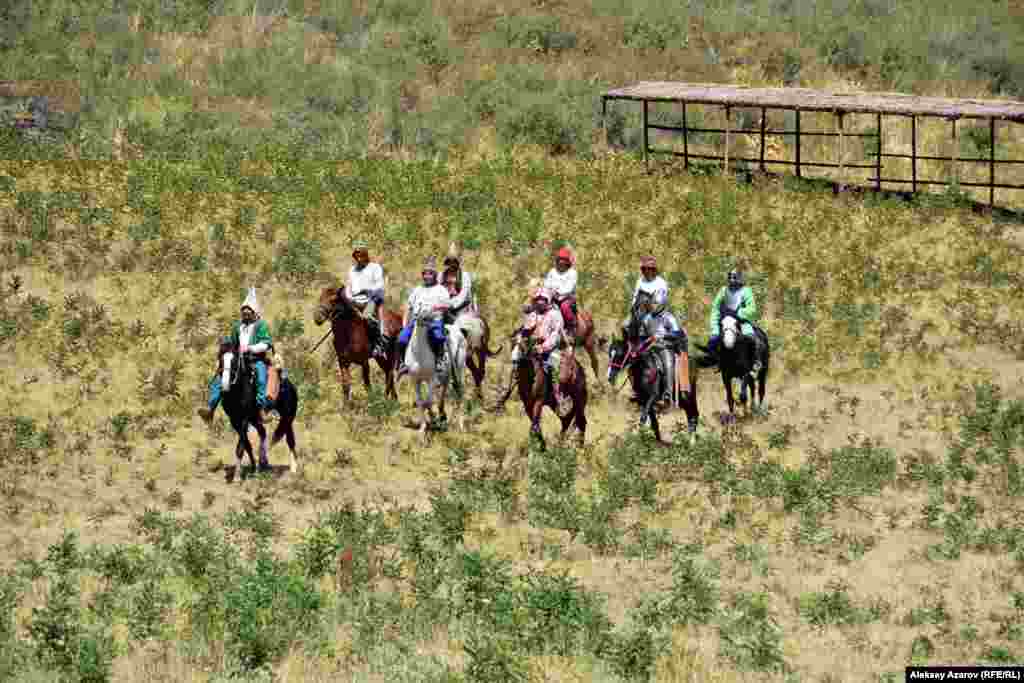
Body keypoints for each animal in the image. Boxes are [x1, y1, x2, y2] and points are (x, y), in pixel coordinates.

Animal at [215, 339, 299, 479]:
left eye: (234, 360)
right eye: (220, 359)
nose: (225, 385)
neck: (238, 391)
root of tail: (290, 385)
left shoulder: (244, 420)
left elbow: (240, 447)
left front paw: (237, 476)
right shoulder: (235, 420)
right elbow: (246, 444)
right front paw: (253, 467)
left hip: (287, 417)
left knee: (290, 439)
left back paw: (293, 469)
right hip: (256, 419)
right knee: (263, 432)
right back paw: (261, 463)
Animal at [397, 305, 468, 444]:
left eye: (427, 309)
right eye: (414, 306)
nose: (418, 316)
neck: (418, 353)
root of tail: (456, 329)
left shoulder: (432, 380)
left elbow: (428, 401)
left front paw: (431, 419)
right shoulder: (416, 380)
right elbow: (421, 402)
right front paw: (423, 429)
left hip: (459, 368)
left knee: (459, 392)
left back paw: (461, 424)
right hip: (446, 374)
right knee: (444, 389)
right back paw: (441, 413)